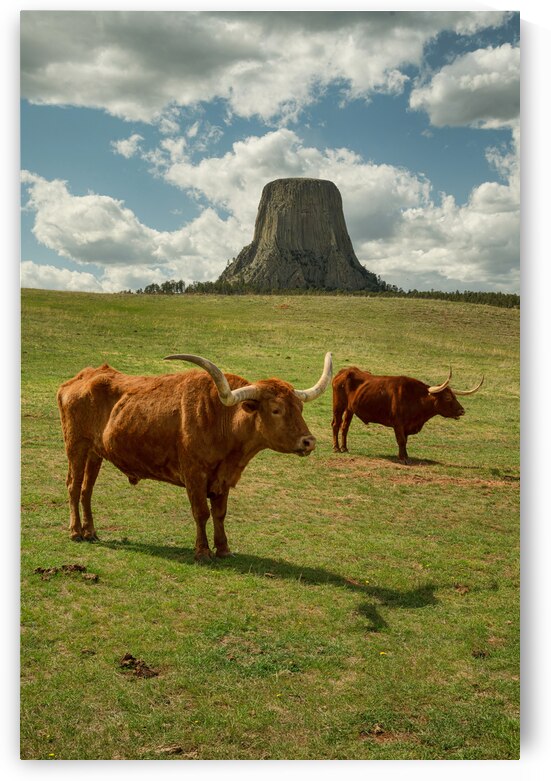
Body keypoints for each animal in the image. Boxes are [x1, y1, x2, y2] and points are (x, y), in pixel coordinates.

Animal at [57, 352, 332, 560]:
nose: (309, 441)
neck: (221, 418)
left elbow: (220, 513)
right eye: (276, 409)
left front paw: (223, 549)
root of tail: (80, 378)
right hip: (75, 446)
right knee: (73, 486)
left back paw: (90, 531)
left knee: (86, 489)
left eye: (300, 407)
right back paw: (75, 532)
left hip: (95, 452)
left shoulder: (223, 478)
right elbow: (201, 512)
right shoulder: (194, 475)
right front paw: (202, 552)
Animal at [331, 366, 483, 464]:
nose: (462, 411)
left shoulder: (407, 426)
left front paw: (406, 456)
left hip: (350, 409)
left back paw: (345, 448)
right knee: (336, 424)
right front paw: (402, 458)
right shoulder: (398, 424)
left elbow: (405, 441)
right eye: (447, 397)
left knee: (345, 427)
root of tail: (344, 371)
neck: (415, 398)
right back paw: (336, 448)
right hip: (338, 406)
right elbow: (401, 440)